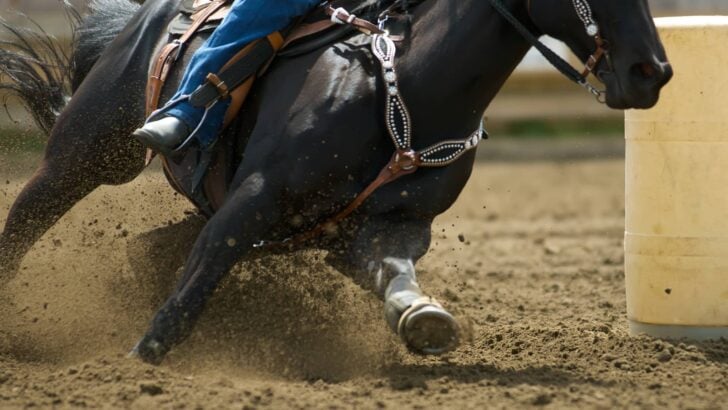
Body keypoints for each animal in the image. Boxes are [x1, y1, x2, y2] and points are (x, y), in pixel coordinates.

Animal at [0, 0, 671, 364]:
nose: (653, 72)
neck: (407, 88)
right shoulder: (254, 198)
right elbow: (196, 284)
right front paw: (144, 360)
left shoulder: (387, 229)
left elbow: (396, 276)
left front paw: (423, 317)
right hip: (85, 155)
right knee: (25, 219)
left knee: (145, 251)